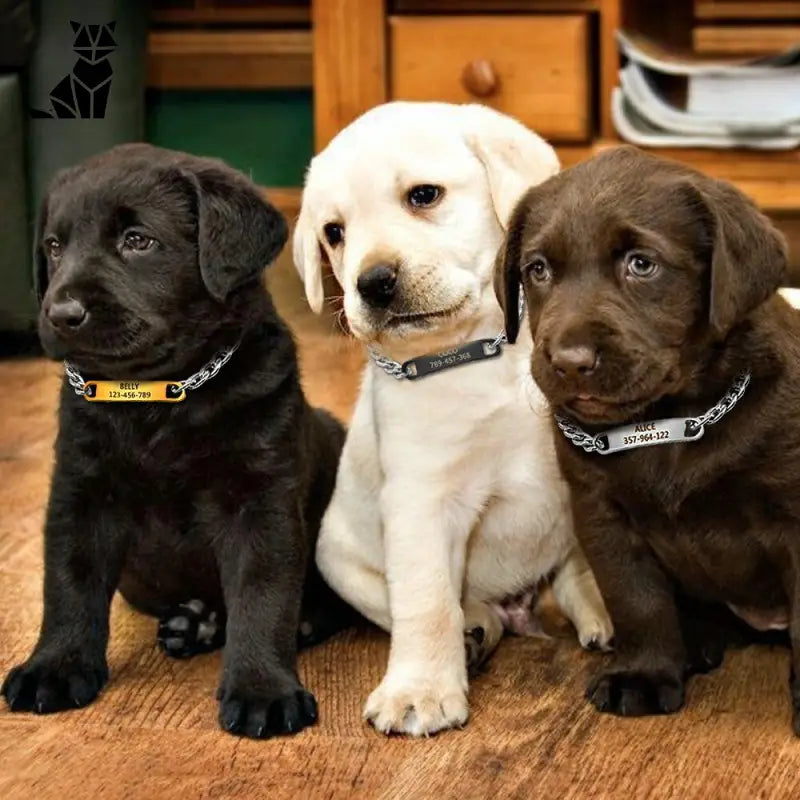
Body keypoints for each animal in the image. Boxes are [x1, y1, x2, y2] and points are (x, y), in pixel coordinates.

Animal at [1, 142, 350, 736]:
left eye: (138, 240)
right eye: (53, 246)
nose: (61, 313)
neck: (159, 402)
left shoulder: (260, 498)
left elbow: (263, 595)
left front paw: (262, 689)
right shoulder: (80, 492)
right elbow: (68, 584)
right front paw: (55, 666)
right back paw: (197, 623)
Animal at [294, 101, 612, 736]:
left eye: (424, 195)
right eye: (334, 232)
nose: (373, 283)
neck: (484, 352)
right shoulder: (423, 500)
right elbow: (427, 602)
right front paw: (419, 692)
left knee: (571, 572)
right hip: (336, 556)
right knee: (432, 606)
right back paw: (476, 629)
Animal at [496, 144, 800, 732]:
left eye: (642, 264)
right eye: (538, 270)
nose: (569, 362)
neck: (671, 422)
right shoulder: (602, 515)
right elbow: (636, 599)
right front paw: (644, 672)